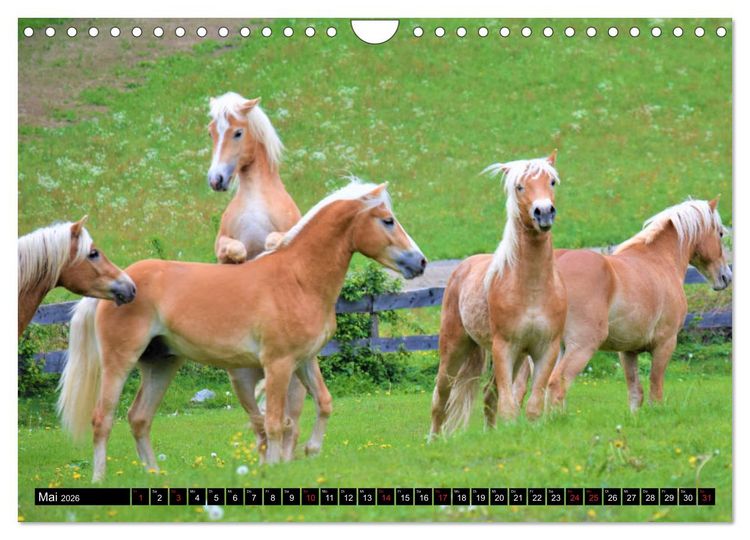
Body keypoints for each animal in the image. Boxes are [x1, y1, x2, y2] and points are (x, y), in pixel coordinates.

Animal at [58, 181, 427, 481]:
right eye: (387, 220)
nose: (420, 262)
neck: (298, 279)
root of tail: (123, 284)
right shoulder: (278, 364)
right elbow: (275, 422)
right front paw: (275, 469)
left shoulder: (304, 360)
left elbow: (323, 403)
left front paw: (311, 451)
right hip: (119, 362)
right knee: (102, 419)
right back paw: (100, 478)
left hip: (161, 364)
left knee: (139, 418)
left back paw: (155, 475)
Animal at [429, 152, 566, 438]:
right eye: (520, 186)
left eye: (551, 182)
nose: (544, 212)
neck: (532, 289)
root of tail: (462, 267)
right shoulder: (505, 348)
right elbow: (509, 407)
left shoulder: (545, 349)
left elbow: (532, 404)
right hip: (453, 349)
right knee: (441, 397)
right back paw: (433, 440)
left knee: (489, 395)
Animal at [511, 198, 732, 412]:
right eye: (720, 233)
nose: (726, 277)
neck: (659, 259)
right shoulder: (665, 344)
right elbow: (655, 391)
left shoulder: (628, 351)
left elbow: (635, 393)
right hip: (580, 345)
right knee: (556, 383)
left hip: (549, 349)